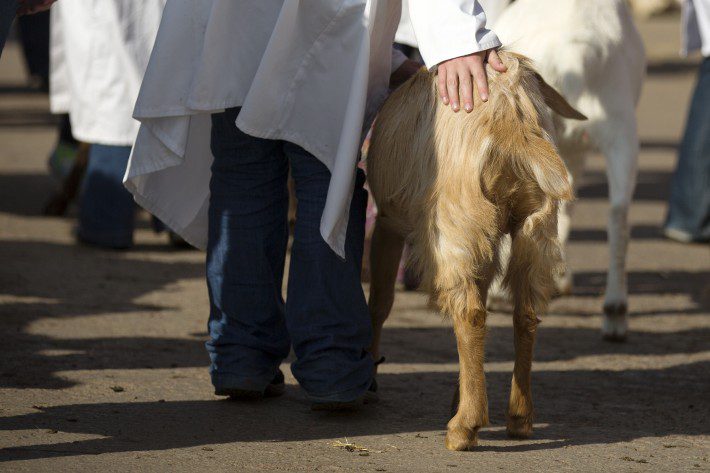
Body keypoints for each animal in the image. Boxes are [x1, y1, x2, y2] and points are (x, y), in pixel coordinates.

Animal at [364, 51, 588, 450]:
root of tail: (510, 114)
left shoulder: (389, 223)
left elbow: (381, 302)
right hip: (532, 222)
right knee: (523, 313)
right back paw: (517, 418)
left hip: (455, 223)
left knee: (469, 314)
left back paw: (464, 427)